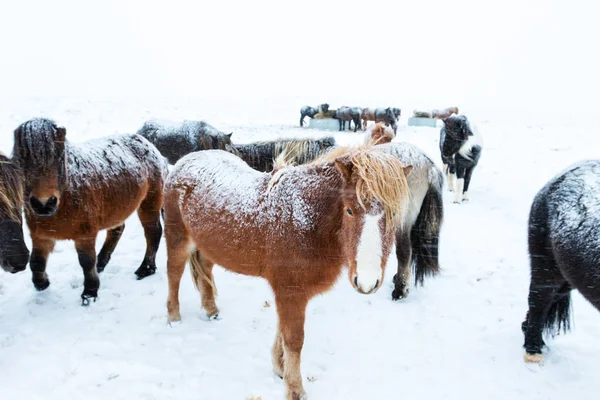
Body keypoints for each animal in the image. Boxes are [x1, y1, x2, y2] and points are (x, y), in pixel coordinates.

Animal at [12, 117, 168, 304]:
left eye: (58, 156)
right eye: (22, 157)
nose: (44, 204)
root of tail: (150, 146)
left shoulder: (85, 235)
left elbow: (86, 262)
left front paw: (90, 292)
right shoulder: (41, 236)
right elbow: (36, 262)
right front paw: (42, 283)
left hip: (149, 203)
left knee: (153, 232)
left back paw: (146, 269)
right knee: (117, 230)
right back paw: (101, 263)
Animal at [163, 145, 412, 398]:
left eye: (393, 214)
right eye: (350, 210)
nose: (367, 282)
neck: (306, 220)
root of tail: (184, 161)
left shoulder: (290, 293)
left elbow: (282, 330)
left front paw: (279, 367)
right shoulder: (289, 291)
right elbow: (294, 339)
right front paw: (295, 389)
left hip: (207, 245)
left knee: (205, 268)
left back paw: (211, 310)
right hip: (178, 239)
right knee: (174, 273)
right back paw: (174, 317)